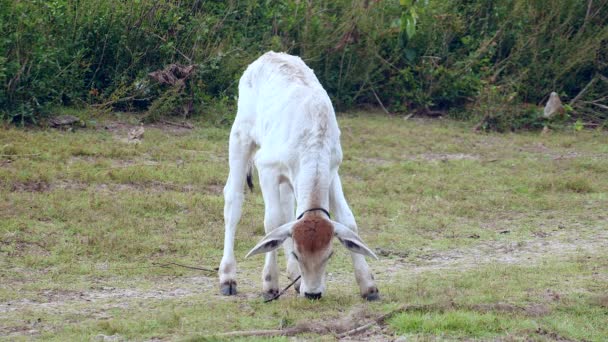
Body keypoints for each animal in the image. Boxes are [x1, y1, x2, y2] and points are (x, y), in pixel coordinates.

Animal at [218, 50, 380, 300]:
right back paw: (227, 277)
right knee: (233, 200)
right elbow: (272, 222)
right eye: (296, 253)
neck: (313, 137)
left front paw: (368, 285)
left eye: (330, 254)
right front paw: (269, 284)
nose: (313, 293)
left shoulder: (333, 170)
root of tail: (267, 55)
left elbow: (348, 220)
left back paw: (293, 277)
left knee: (287, 208)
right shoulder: (266, 167)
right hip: (240, 136)